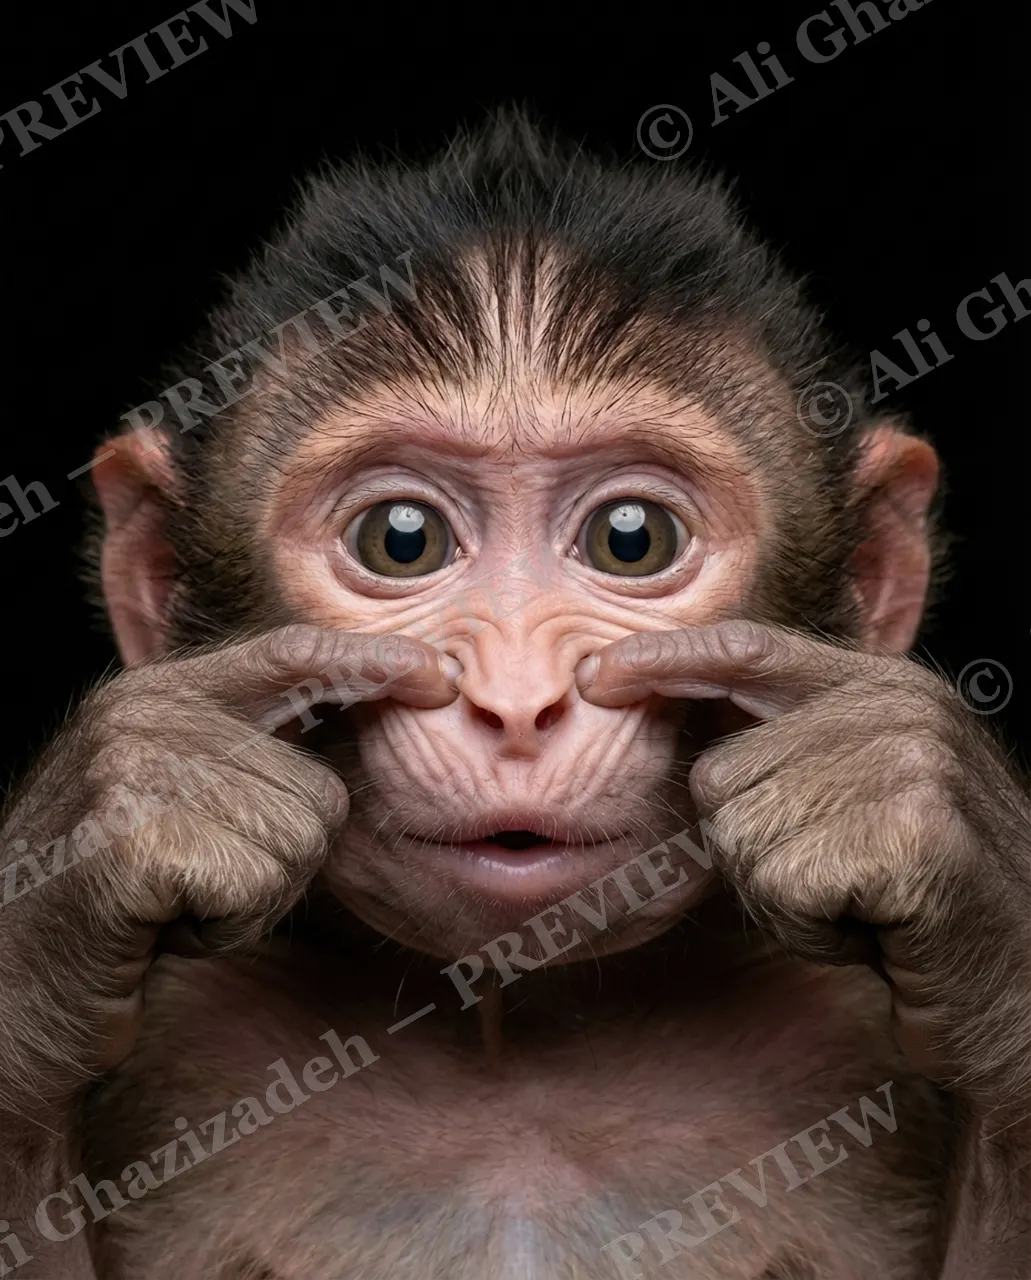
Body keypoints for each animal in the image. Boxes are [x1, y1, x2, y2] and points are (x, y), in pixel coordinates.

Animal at [0, 109, 1027, 1280]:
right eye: (400, 539)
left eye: (631, 538)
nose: (517, 703)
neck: (512, 1036)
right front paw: (127, 816)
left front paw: (889, 794)